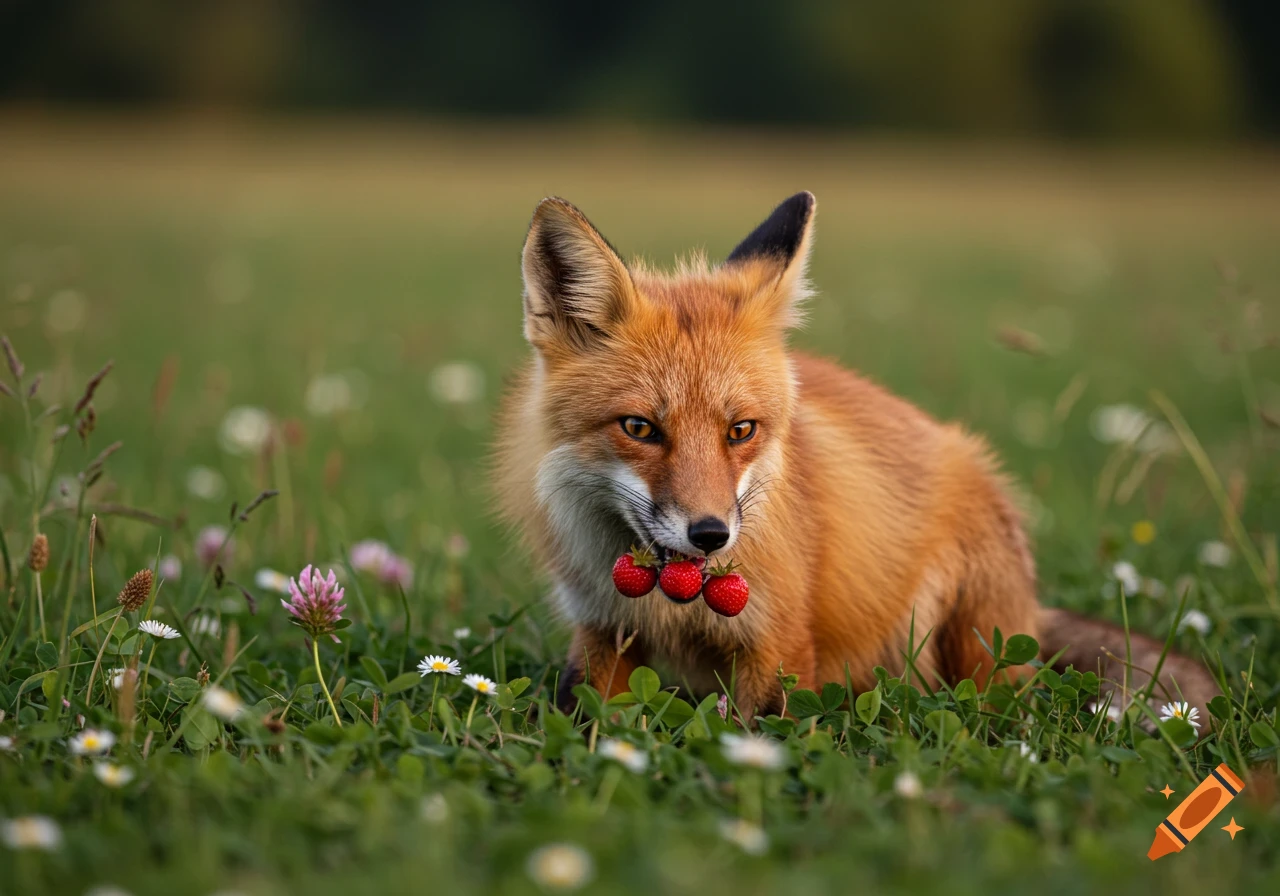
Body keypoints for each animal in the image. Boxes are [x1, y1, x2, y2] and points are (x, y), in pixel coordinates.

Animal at [496, 192, 1218, 721]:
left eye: (741, 430)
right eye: (640, 428)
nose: (711, 534)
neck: (671, 598)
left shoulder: (780, 643)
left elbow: (756, 732)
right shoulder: (599, 631)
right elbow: (586, 716)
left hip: (967, 636)